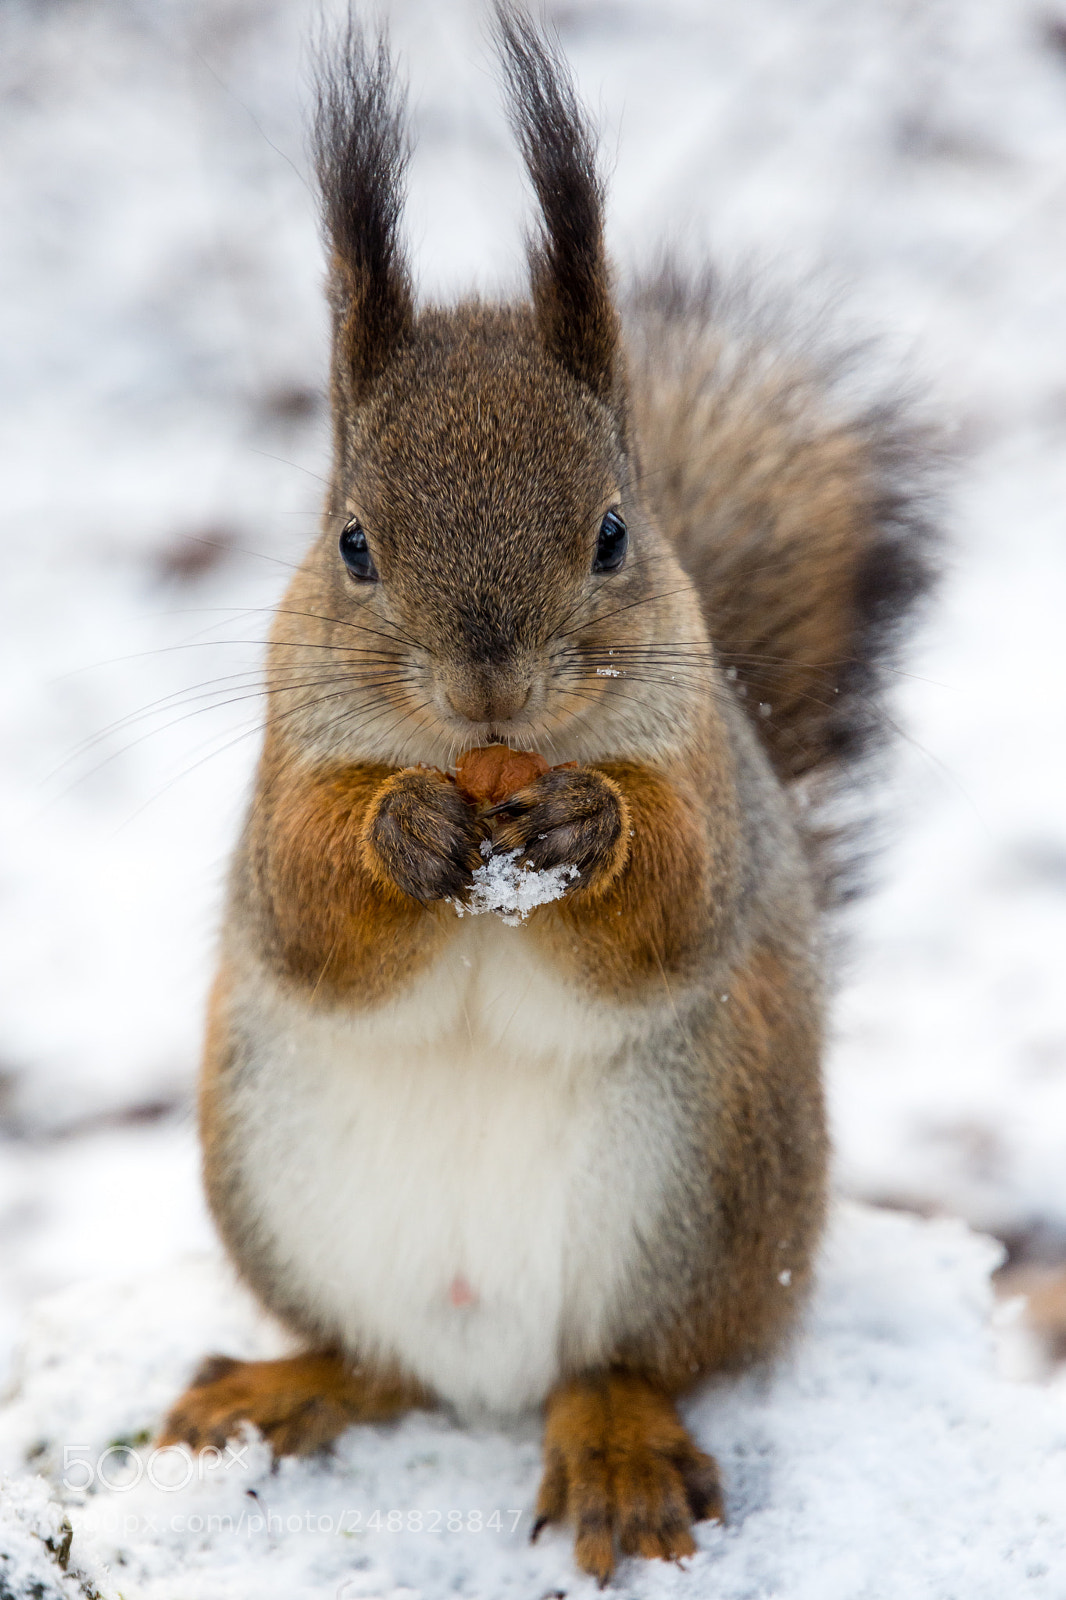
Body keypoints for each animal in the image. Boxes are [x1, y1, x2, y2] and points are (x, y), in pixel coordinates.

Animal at [159, 7, 934, 1585]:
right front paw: (399, 833)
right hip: (269, 1169)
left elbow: (681, 897)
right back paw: (278, 1388)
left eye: (614, 534)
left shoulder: (704, 768)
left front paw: (591, 831)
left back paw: (615, 1451)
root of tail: (488, 1360)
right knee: (374, 1360)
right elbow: (298, 905)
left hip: (705, 1186)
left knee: (630, 1362)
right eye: (351, 545)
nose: (487, 692)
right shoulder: (283, 766)